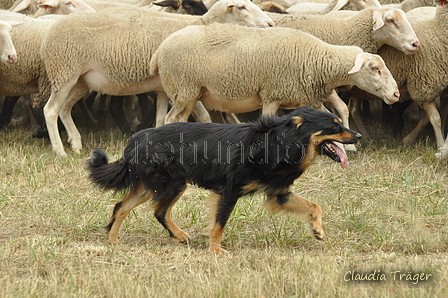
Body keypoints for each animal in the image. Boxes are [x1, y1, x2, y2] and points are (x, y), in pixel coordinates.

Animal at [40, 0, 274, 157]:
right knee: (50, 110)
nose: (271, 24)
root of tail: (50, 31)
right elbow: (204, 117)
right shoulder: (189, 85)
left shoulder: (165, 88)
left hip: (80, 80)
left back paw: (76, 144)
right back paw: (60, 151)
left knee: (64, 108)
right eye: (242, 7)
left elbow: (160, 120)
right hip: (65, 72)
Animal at [86, 106, 360, 253]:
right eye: (334, 126)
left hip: (152, 184)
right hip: (172, 183)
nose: (358, 136)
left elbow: (314, 205)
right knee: (157, 210)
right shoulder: (229, 191)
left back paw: (114, 240)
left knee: (122, 207)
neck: (280, 142)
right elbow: (220, 224)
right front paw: (216, 250)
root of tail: (136, 138)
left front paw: (317, 229)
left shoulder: (278, 193)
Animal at [149, 23, 400, 135]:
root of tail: (159, 49)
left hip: (190, 93)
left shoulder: (306, 96)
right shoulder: (272, 95)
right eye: (375, 68)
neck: (315, 57)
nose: (396, 94)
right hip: (184, 89)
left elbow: (333, 114)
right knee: (169, 119)